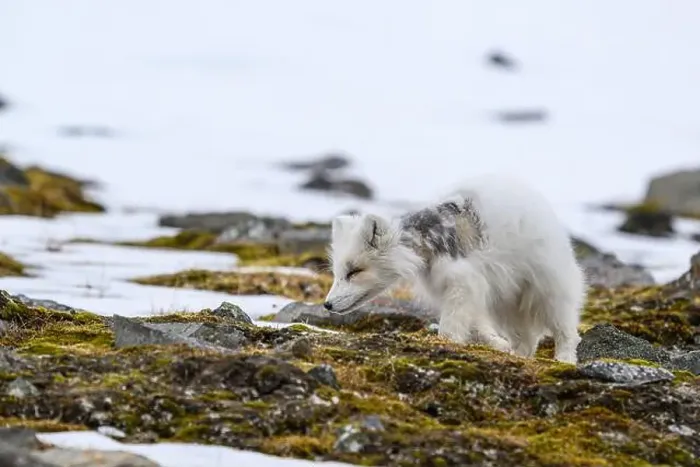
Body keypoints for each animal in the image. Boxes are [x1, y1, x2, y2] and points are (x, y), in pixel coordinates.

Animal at [323, 174, 587, 364]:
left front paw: (446, 343)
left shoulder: (464, 283)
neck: (427, 244)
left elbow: (450, 328)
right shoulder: (468, 290)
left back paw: (564, 360)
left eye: (355, 271)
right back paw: (518, 355)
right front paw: (497, 345)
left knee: (566, 330)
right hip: (506, 301)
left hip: (546, 288)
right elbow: (476, 327)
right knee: (528, 338)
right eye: (337, 272)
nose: (327, 305)